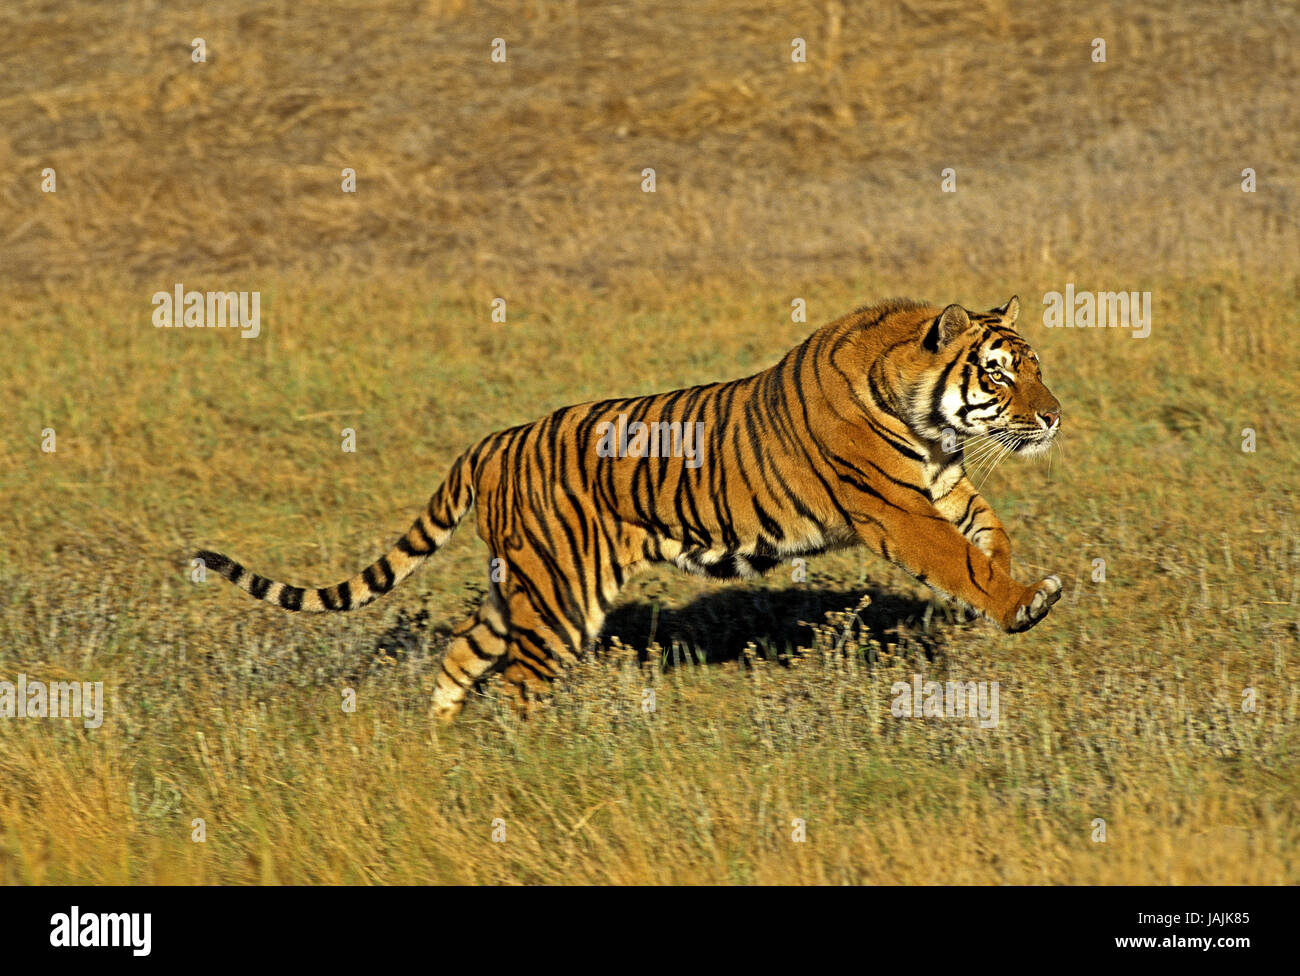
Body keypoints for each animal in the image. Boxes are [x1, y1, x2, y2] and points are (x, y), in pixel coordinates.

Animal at [195, 293, 1066, 722]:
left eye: (1035, 367)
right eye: (999, 372)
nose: (1055, 416)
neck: (928, 419)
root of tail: (492, 441)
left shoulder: (942, 483)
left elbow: (988, 530)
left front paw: (1017, 579)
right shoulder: (896, 510)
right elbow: (957, 558)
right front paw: (1019, 605)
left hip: (519, 588)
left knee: (460, 659)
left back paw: (439, 759)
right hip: (558, 595)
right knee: (517, 686)